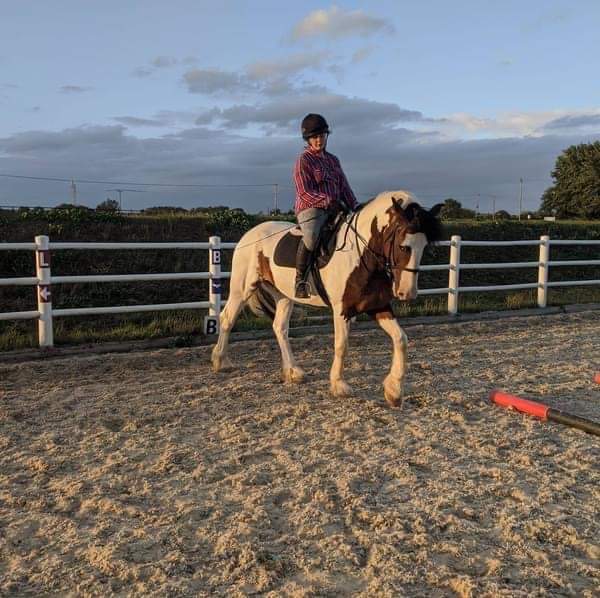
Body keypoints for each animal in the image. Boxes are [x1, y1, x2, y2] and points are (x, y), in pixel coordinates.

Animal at [211, 190, 443, 407]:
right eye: (404, 246)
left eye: (424, 246)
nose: (407, 293)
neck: (360, 256)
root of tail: (251, 234)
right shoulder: (342, 309)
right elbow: (342, 345)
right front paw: (339, 385)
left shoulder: (378, 306)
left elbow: (401, 339)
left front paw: (394, 391)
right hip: (242, 289)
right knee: (227, 319)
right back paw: (221, 361)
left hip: (284, 296)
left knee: (279, 327)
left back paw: (293, 371)